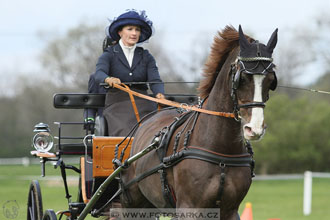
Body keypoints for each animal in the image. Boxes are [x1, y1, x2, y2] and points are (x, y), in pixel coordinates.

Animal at [120, 25, 278, 218]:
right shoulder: (189, 207)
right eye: (242, 78)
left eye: (271, 80)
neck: (221, 151)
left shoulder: (230, 210)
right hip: (132, 203)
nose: (254, 129)